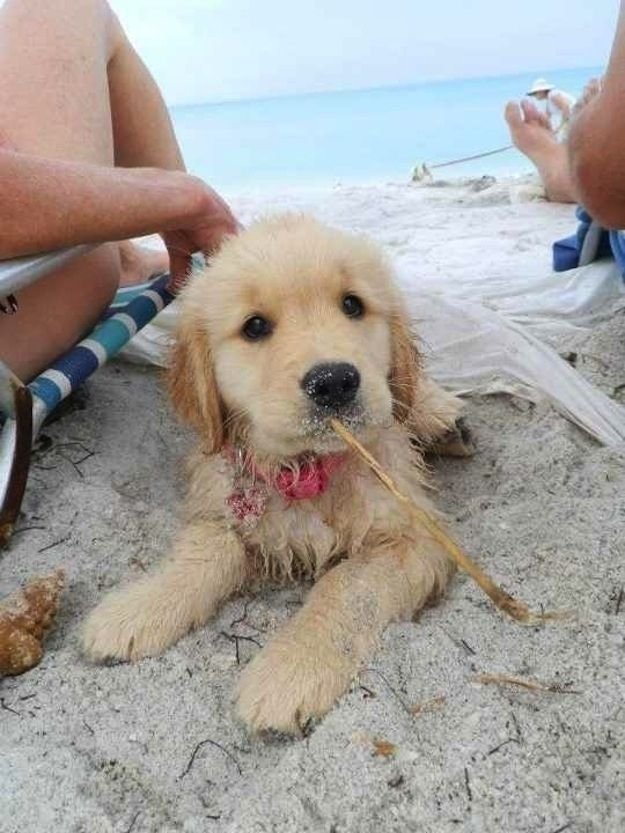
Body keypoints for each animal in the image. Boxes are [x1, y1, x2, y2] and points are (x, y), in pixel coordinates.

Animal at [81, 216, 464, 736]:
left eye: (352, 304)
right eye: (255, 326)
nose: (334, 381)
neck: (307, 468)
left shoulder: (412, 535)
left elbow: (347, 587)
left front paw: (290, 671)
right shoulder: (223, 498)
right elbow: (204, 554)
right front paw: (137, 608)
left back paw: (444, 419)